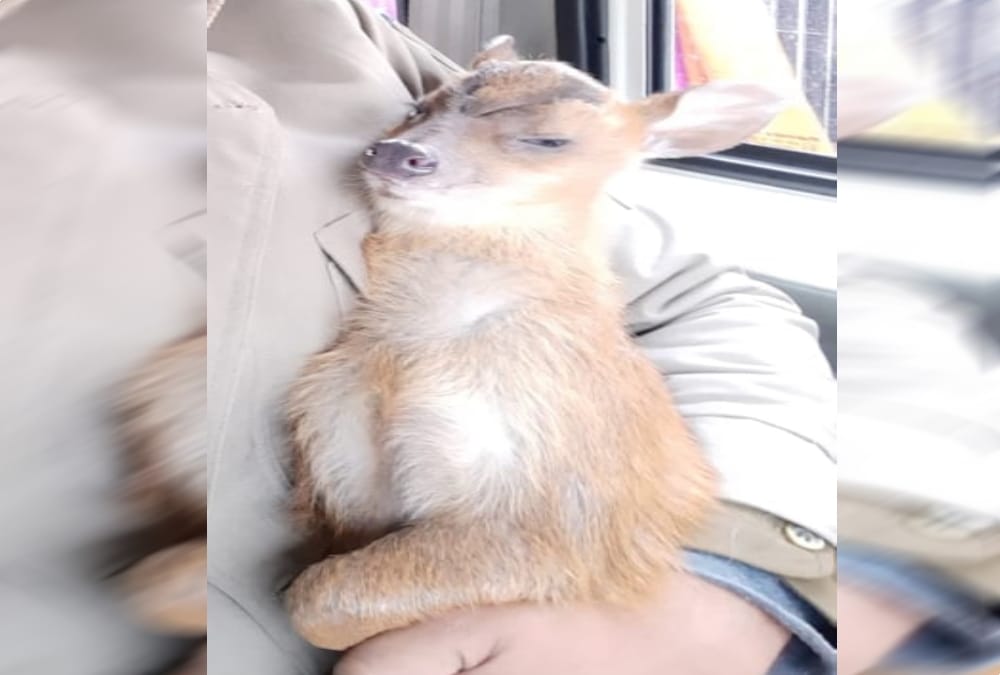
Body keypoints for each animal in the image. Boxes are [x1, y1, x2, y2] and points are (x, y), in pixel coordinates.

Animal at [284, 35, 789, 651]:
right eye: (417, 106)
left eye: (549, 139)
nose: (397, 152)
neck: (418, 346)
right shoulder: (339, 454)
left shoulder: (561, 521)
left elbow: (317, 599)